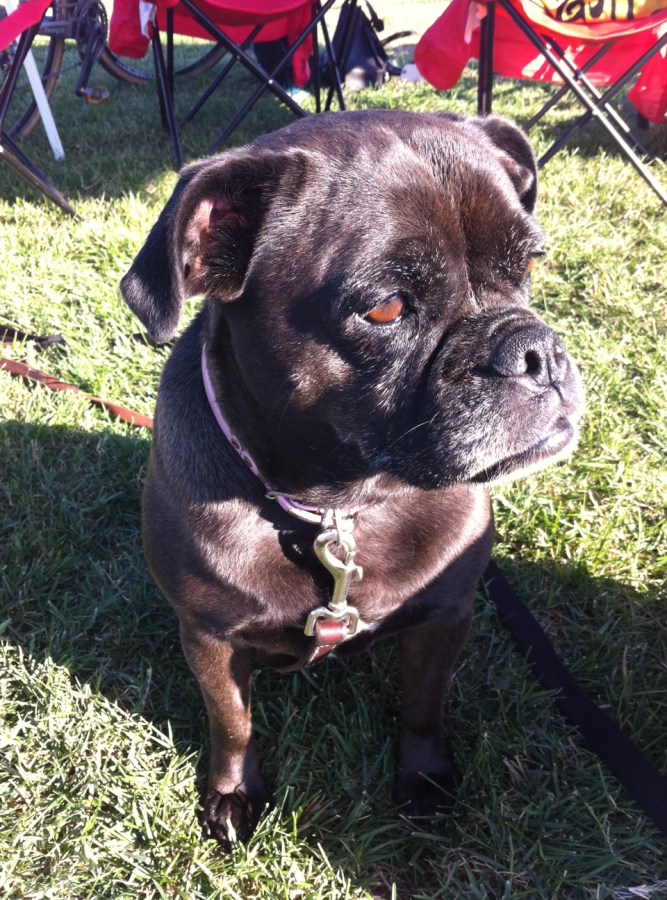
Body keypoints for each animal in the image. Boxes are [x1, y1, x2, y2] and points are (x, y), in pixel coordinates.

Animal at [121, 110, 584, 845]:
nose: (535, 351)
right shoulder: (211, 640)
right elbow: (232, 723)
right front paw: (232, 792)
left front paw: (424, 778)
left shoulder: (445, 615)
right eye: (387, 309)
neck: (339, 505)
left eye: (529, 266)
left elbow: (422, 706)